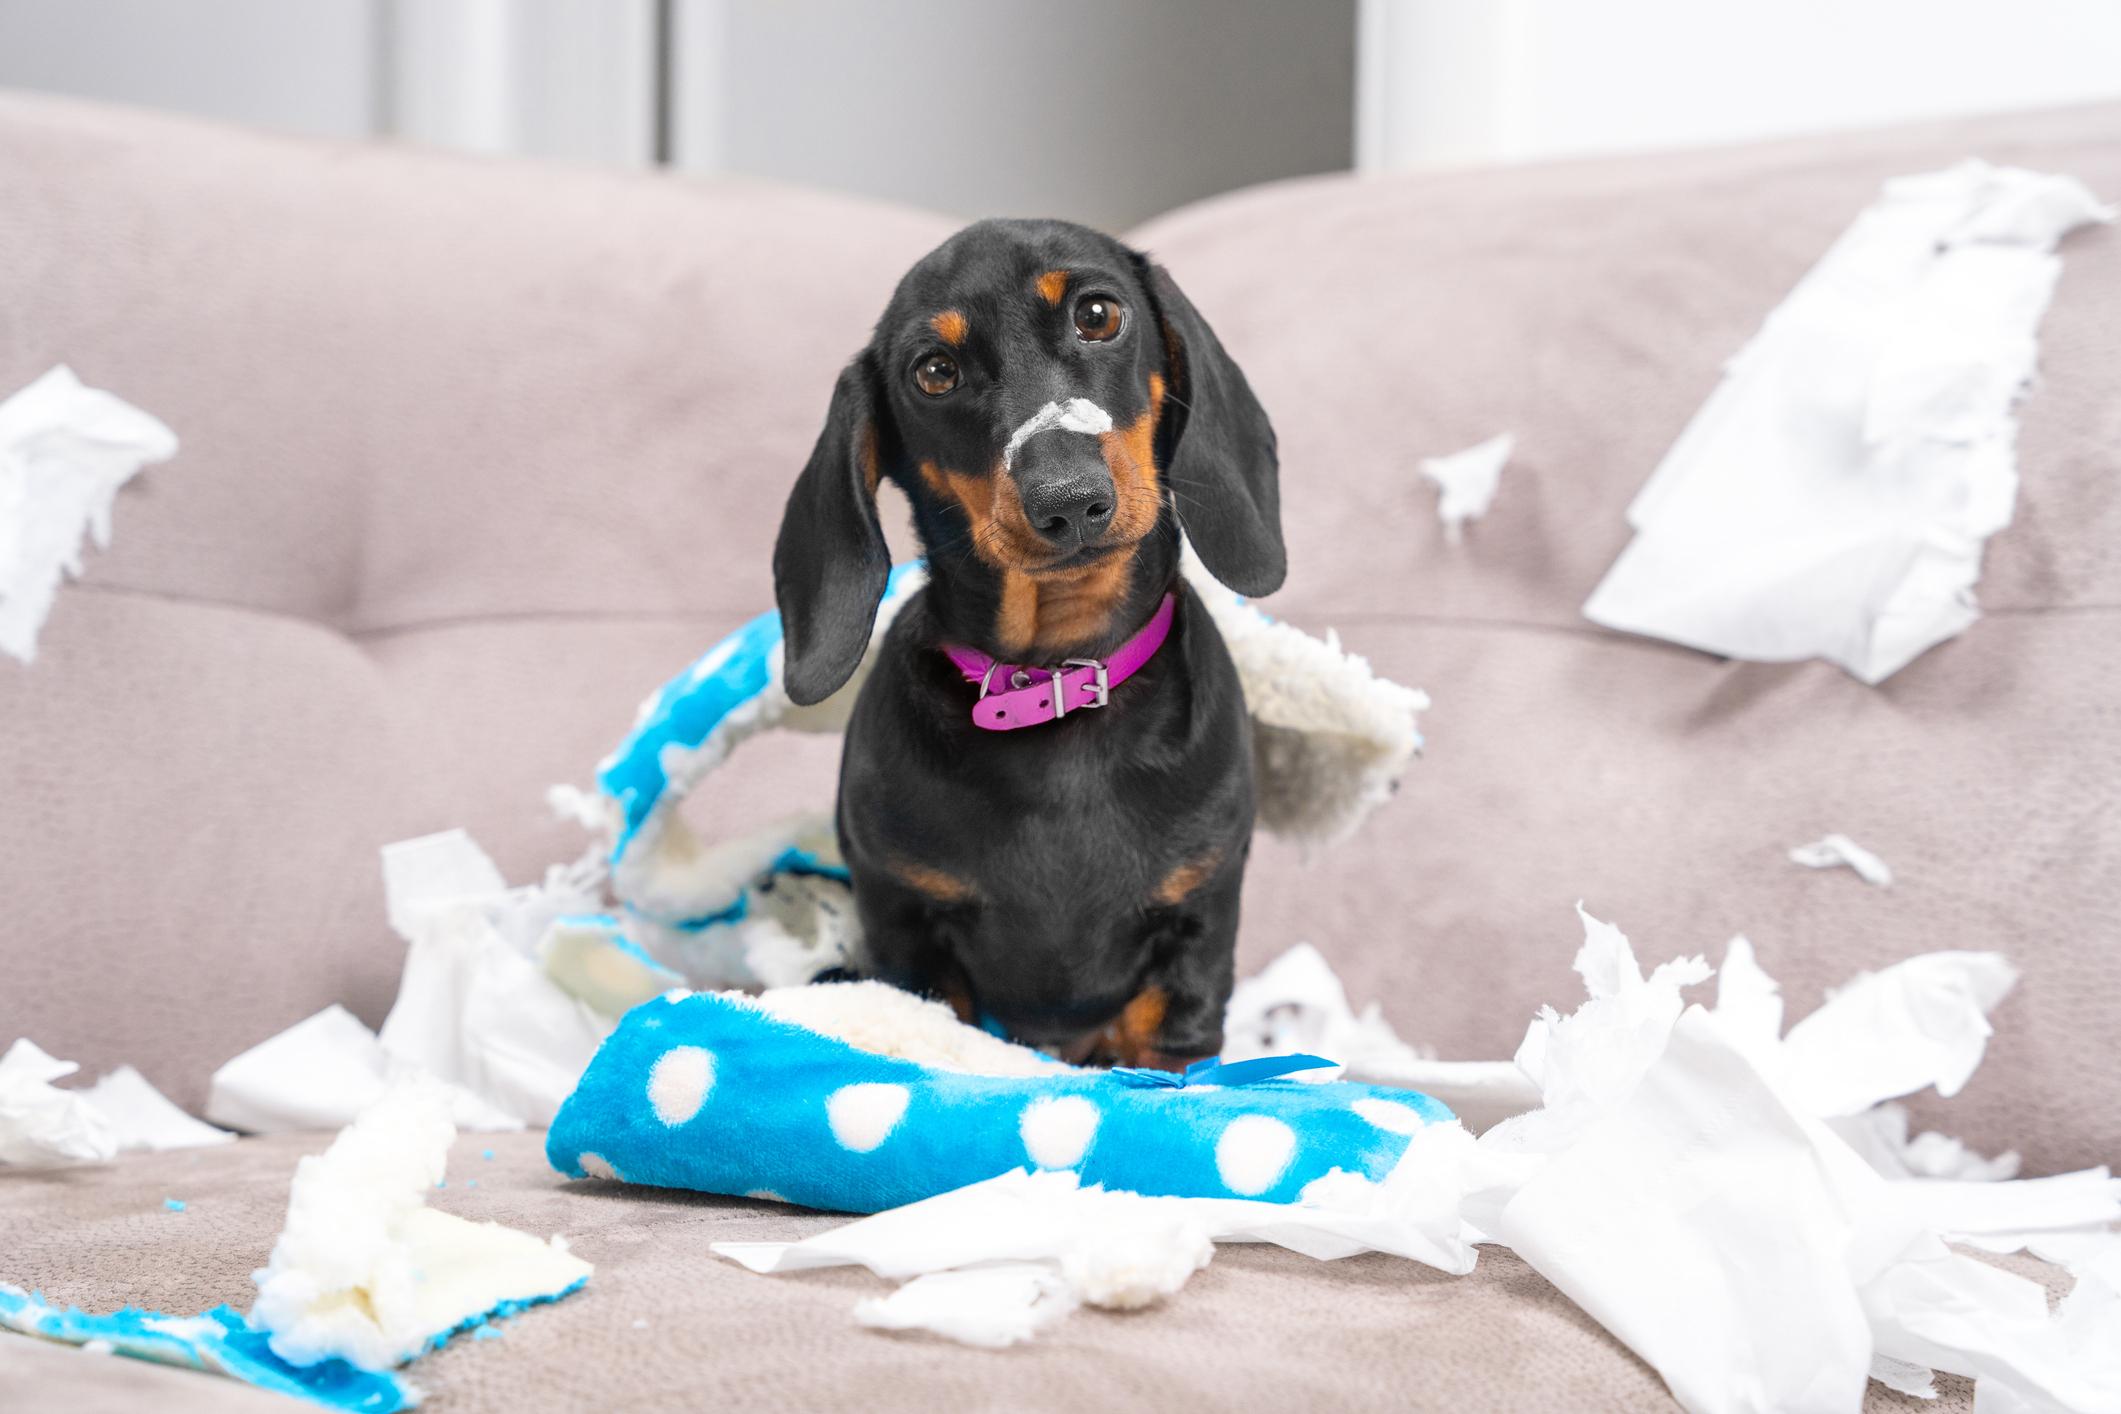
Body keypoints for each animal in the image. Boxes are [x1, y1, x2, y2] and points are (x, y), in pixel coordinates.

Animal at [776, 216, 1272, 1068]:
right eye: (934, 372)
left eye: (1098, 315)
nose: (1067, 503)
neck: (1057, 680)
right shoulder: (905, 924)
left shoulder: (1198, 927)